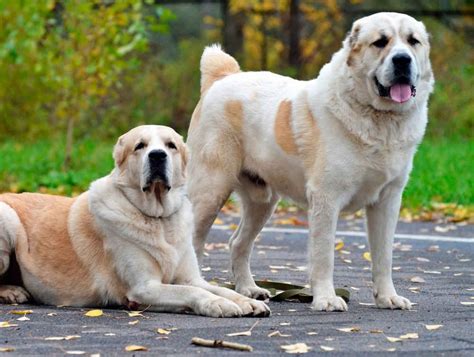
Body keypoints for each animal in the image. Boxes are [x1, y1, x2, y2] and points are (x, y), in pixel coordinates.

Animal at [0, 125, 268, 318]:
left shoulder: (191, 277)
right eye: (140, 146)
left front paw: (247, 301)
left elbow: (215, 287)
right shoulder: (144, 288)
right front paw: (218, 304)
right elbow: (190, 291)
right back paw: (12, 292)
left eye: (171, 145)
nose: (157, 156)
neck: (158, 219)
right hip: (8, 218)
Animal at [187, 12, 436, 310]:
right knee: (193, 242)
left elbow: (383, 256)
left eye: (413, 41)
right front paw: (326, 299)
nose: (402, 60)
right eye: (380, 42)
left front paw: (388, 297)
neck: (379, 121)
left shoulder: (387, 201)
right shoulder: (326, 198)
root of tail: (223, 77)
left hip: (262, 202)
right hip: (210, 191)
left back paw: (250, 289)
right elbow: (323, 254)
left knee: (238, 243)